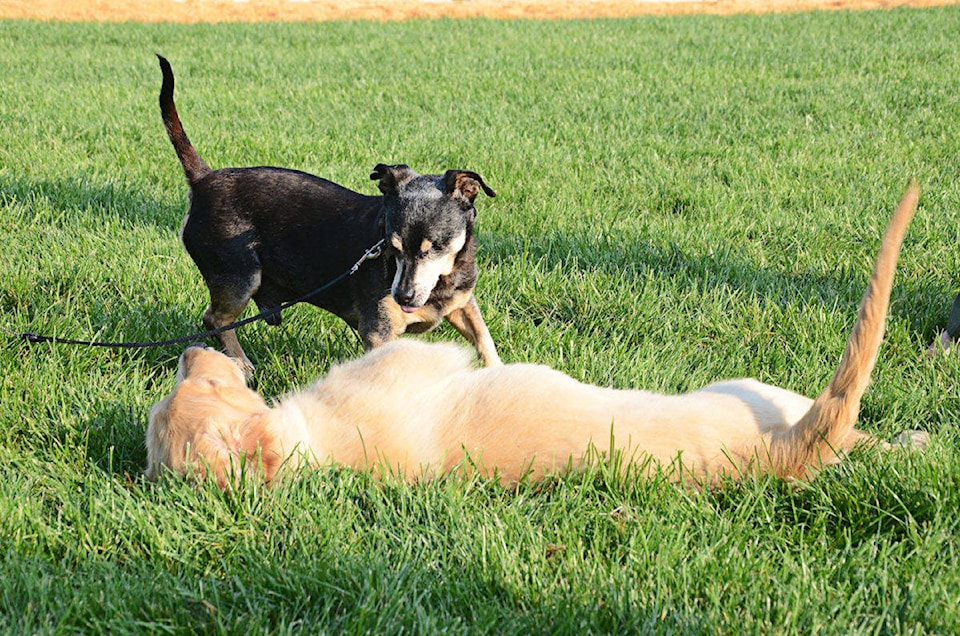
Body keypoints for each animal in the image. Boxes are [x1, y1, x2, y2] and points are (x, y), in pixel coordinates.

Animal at [146, 186, 928, 490]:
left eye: (192, 384)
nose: (190, 354)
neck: (308, 445)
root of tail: (797, 449)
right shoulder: (407, 349)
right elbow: (428, 337)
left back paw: (915, 442)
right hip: (758, 392)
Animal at [156, 54, 502, 376]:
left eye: (438, 247)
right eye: (392, 248)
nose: (402, 296)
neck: (442, 282)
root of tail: (203, 179)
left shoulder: (464, 305)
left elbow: (485, 340)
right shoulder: (379, 333)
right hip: (238, 279)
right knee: (214, 318)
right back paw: (241, 364)